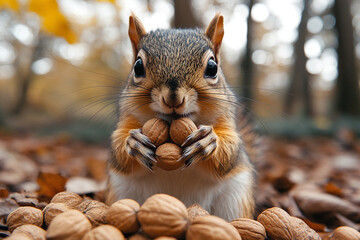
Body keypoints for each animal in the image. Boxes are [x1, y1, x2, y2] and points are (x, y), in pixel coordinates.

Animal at [105, 12, 258, 220]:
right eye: (138, 66)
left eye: (212, 67)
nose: (173, 98)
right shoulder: (126, 118)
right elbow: (118, 152)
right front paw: (133, 142)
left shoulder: (227, 123)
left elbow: (229, 153)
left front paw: (208, 140)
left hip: (234, 201)